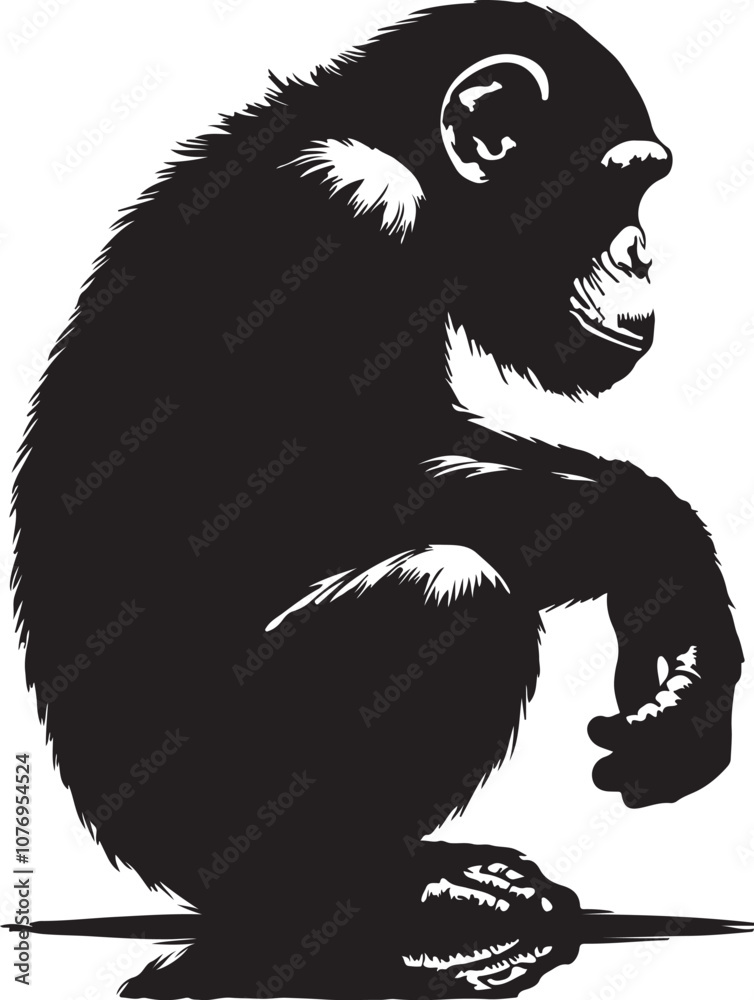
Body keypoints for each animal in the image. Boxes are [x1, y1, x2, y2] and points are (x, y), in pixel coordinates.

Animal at [11, 2, 744, 996]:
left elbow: (432, 435)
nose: (643, 253)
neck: (407, 161)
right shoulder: (347, 214)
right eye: (623, 185)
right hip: (208, 796)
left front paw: (684, 638)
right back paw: (394, 898)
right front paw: (653, 548)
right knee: (451, 595)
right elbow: (342, 485)